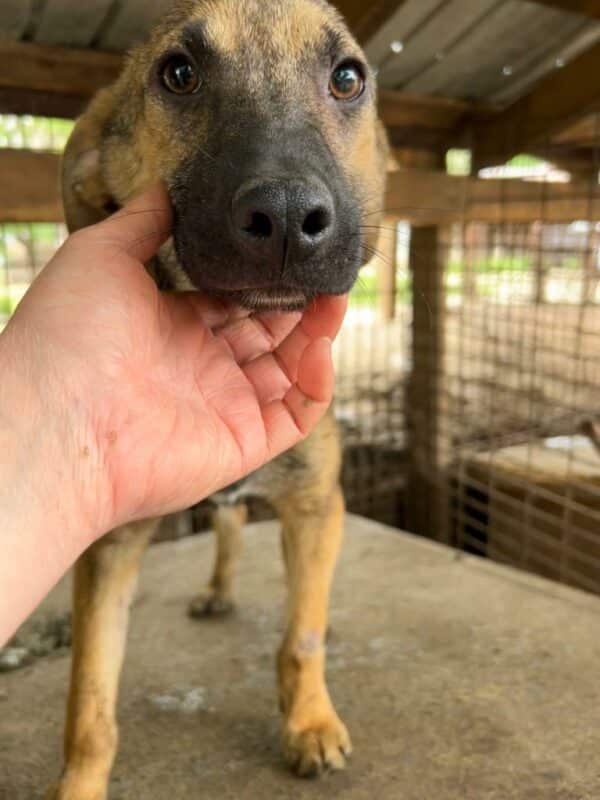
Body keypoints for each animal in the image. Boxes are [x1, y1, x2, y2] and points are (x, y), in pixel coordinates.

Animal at [44, 3, 386, 796]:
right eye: (178, 73)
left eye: (347, 77)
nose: (287, 217)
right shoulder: (111, 543)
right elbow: (89, 705)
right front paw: (78, 785)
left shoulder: (316, 502)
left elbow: (302, 636)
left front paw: (310, 724)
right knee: (226, 526)